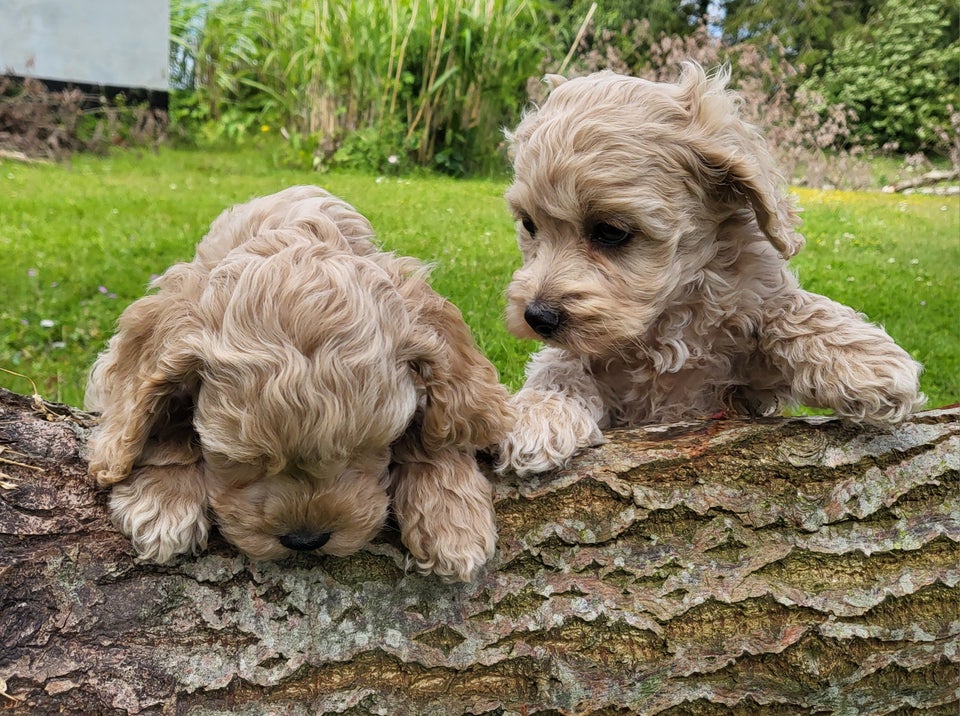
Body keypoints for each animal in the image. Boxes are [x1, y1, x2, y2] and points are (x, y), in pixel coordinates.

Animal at [86, 186, 512, 580]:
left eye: (365, 450)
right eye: (241, 460)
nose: (306, 540)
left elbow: (444, 423)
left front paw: (453, 519)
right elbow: (161, 417)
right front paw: (162, 500)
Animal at [496, 63, 924, 476]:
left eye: (611, 231)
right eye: (529, 225)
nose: (537, 317)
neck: (668, 320)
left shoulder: (747, 387)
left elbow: (784, 309)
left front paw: (862, 361)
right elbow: (560, 363)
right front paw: (538, 413)